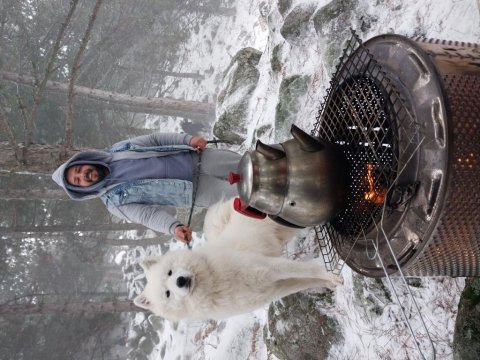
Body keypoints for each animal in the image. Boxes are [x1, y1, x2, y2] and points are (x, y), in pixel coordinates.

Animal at [132, 197, 342, 320]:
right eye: (167, 293)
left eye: (170, 272)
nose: (181, 280)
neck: (214, 281)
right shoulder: (275, 288)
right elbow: (304, 282)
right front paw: (329, 283)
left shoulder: (268, 268)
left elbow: (309, 269)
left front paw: (331, 275)